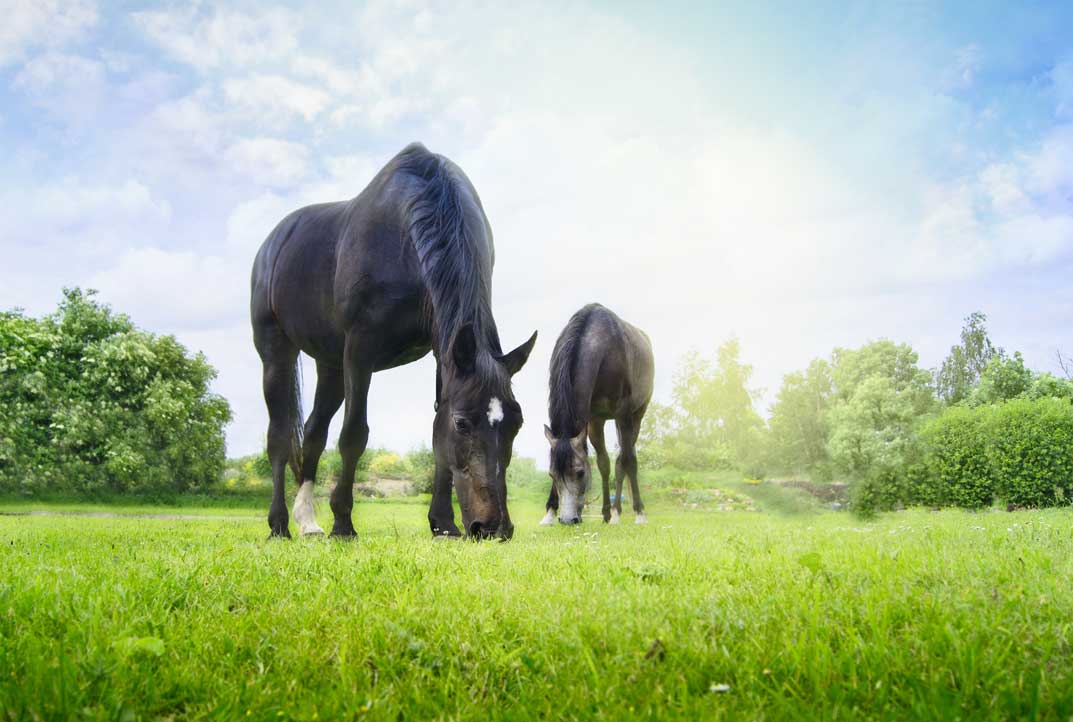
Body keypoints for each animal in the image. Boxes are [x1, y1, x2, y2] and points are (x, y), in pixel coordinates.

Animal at [250, 143, 537, 541]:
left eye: (516, 422)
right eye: (463, 423)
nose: (494, 527)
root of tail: (273, 242)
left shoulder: (442, 352)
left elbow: (435, 435)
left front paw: (443, 522)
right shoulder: (360, 350)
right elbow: (354, 434)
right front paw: (343, 522)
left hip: (331, 364)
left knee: (313, 432)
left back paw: (307, 521)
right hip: (277, 353)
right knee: (279, 437)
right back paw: (279, 524)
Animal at [542, 303, 654, 525]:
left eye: (580, 472)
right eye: (551, 475)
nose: (567, 520)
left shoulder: (624, 414)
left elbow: (628, 461)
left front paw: (639, 514)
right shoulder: (592, 420)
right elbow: (603, 463)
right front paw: (549, 513)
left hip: (636, 416)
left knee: (625, 460)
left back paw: (623, 511)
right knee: (610, 463)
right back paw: (610, 512)